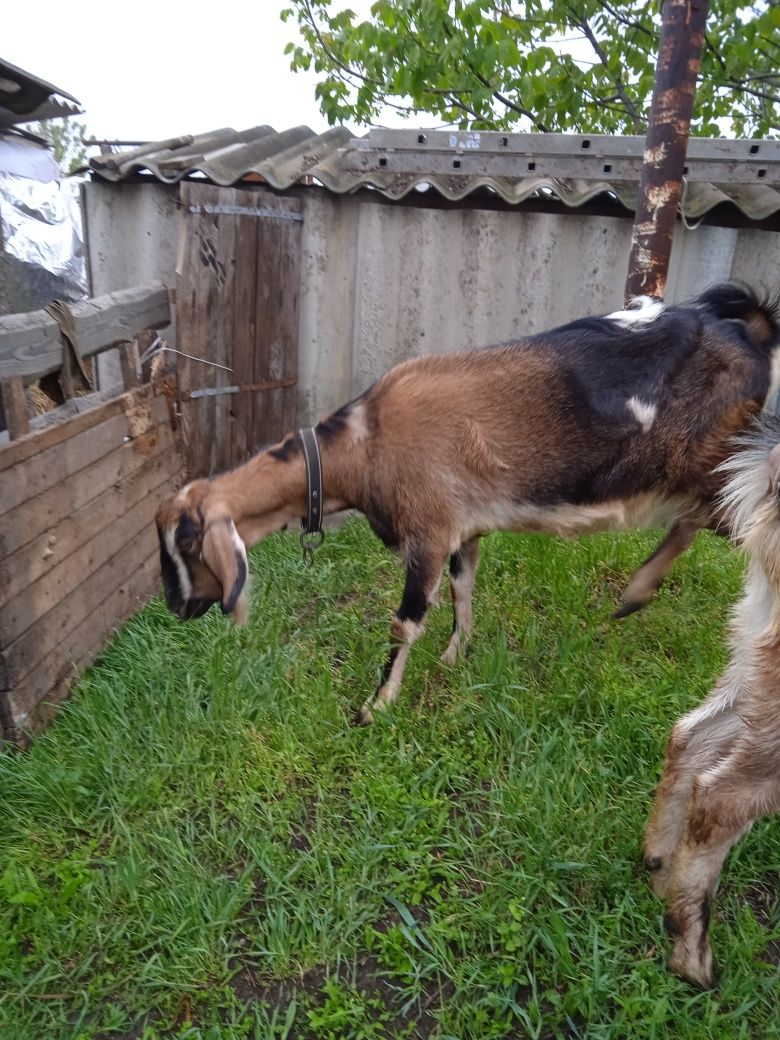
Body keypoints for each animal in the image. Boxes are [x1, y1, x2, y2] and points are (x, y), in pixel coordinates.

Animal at [156, 284, 777, 723]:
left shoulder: (427, 532)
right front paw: (458, 654)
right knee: (694, 521)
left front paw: (375, 707)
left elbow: (404, 623)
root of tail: (747, 326)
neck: (362, 445)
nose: (176, 608)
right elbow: (463, 586)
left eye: (185, 540)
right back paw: (634, 595)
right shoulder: (463, 527)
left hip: (716, 465)